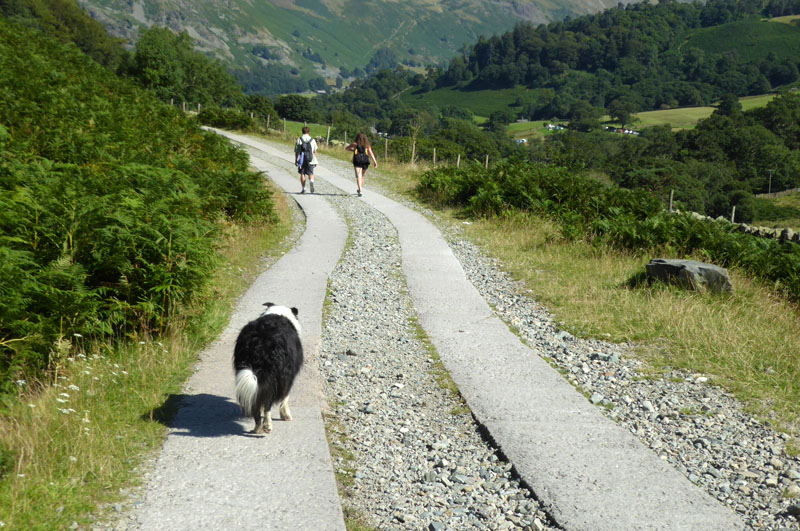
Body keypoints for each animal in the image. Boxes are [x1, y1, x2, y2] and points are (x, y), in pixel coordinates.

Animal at [236, 304, 304, 436]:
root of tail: (259, 344)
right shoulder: (288, 378)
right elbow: (285, 397)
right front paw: (286, 415)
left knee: (256, 404)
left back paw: (257, 429)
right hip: (276, 377)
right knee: (268, 404)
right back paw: (267, 426)